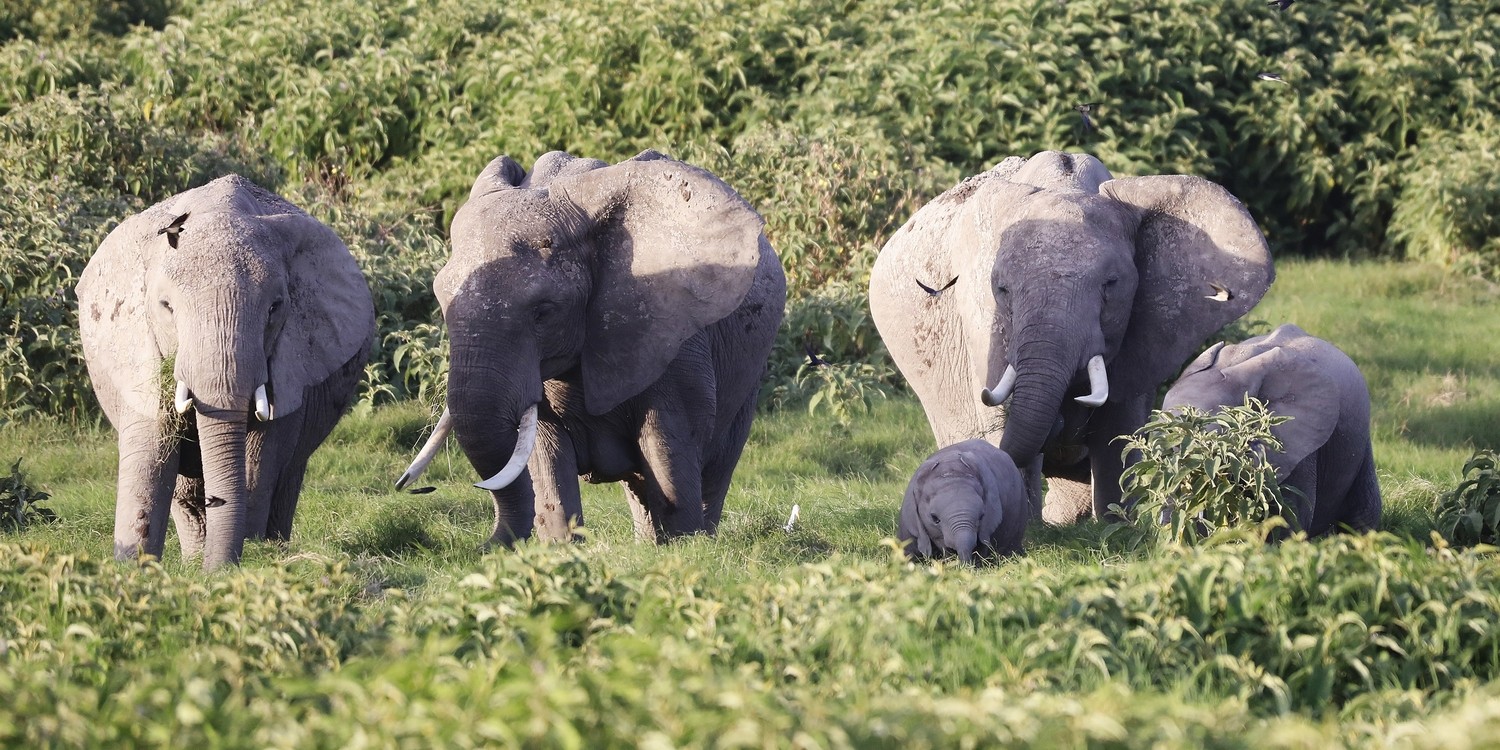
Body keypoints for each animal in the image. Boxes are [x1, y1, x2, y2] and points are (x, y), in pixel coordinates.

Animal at [76, 174, 375, 567]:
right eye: (166, 307)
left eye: (275, 307)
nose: (215, 572)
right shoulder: (139, 349)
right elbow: (150, 450)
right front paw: (133, 569)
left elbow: (258, 460)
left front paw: (245, 561)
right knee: (186, 495)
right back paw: (193, 561)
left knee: (286, 479)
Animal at [393, 149, 792, 546]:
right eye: (441, 299)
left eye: (543, 311)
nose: (483, 546)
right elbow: (544, 453)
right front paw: (561, 549)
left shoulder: (674, 333)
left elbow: (670, 440)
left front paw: (684, 546)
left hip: (750, 369)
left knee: (717, 462)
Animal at [876, 149, 1272, 525]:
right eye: (1002, 289)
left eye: (1110, 284)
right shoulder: (981, 324)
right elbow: (1001, 419)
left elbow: (1119, 428)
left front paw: (1118, 526)